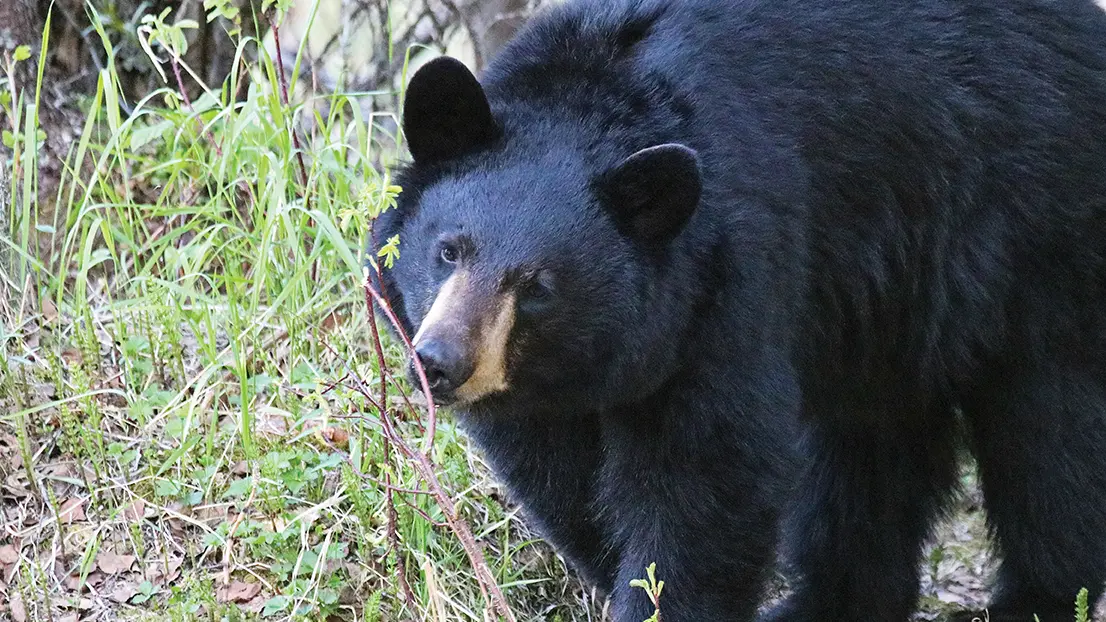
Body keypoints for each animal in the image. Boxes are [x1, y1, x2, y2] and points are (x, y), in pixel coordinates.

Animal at [369, 0, 1106, 615]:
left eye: (538, 285)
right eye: (448, 250)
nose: (441, 362)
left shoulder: (729, 282)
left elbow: (708, 475)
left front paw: (661, 599)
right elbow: (560, 476)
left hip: (1038, 238)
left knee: (1048, 439)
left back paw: (1032, 599)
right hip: (889, 305)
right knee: (871, 448)